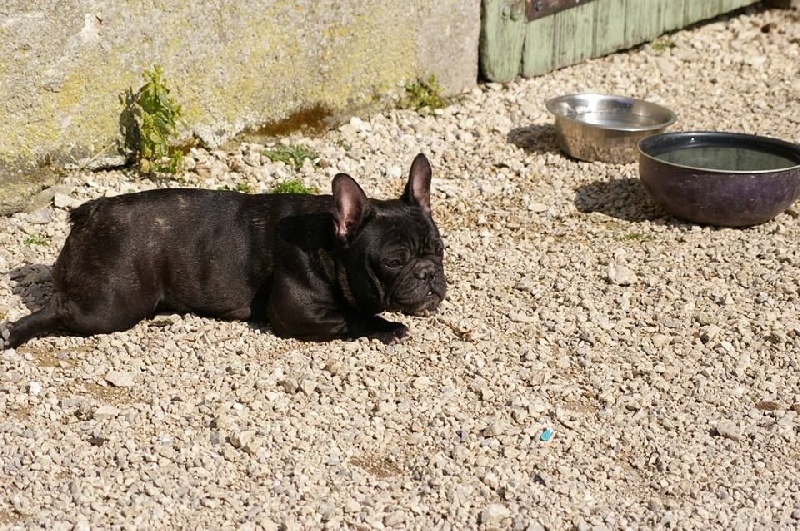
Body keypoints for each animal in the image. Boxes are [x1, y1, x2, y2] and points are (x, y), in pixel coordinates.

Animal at [3, 153, 446, 350]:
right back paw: (13, 334)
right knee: (60, 309)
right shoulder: (298, 313)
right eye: (393, 261)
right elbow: (354, 318)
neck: (328, 242)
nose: (428, 274)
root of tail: (89, 213)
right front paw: (388, 327)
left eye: (438, 250)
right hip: (113, 306)